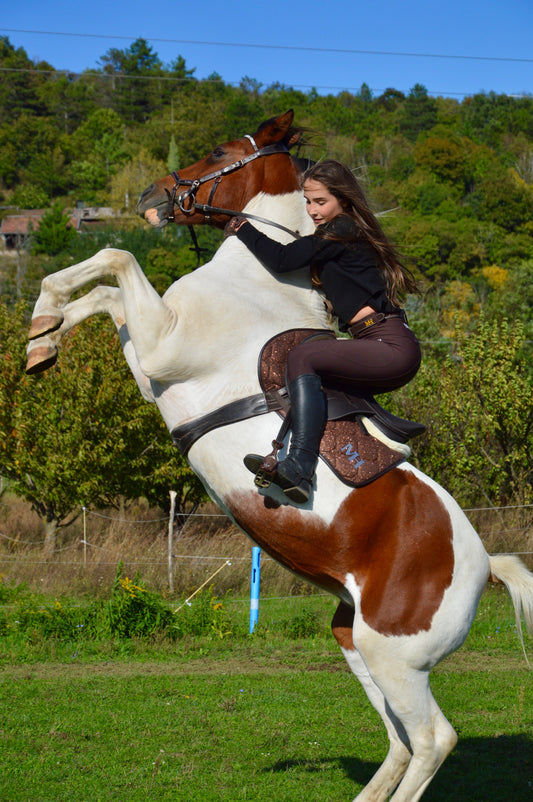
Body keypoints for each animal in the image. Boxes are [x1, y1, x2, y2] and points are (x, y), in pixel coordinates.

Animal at [25, 111, 532, 800]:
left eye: (218, 152)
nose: (153, 196)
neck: (259, 279)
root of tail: (486, 566)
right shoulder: (151, 357)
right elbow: (101, 295)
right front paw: (41, 338)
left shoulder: (164, 346)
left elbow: (115, 259)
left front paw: (43, 319)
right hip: (354, 638)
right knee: (401, 738)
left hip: (394, 654)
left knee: (433, 739)